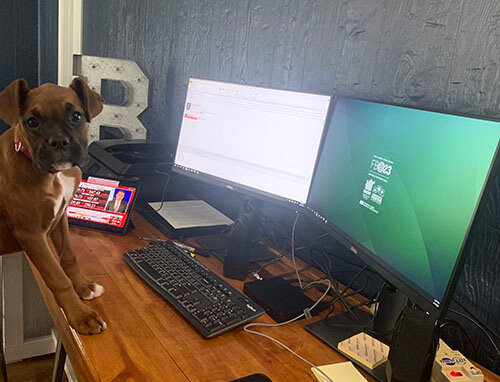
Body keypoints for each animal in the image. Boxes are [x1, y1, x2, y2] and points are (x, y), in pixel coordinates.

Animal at [0, 78, 108, 334]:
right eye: (32, 122)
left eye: (76, 116)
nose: (59, 142)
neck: (54, 174)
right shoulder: (31, 235)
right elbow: (58, 278)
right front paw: (80, 316)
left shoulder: (60, 217)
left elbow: (68, 256)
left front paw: (83, 287)